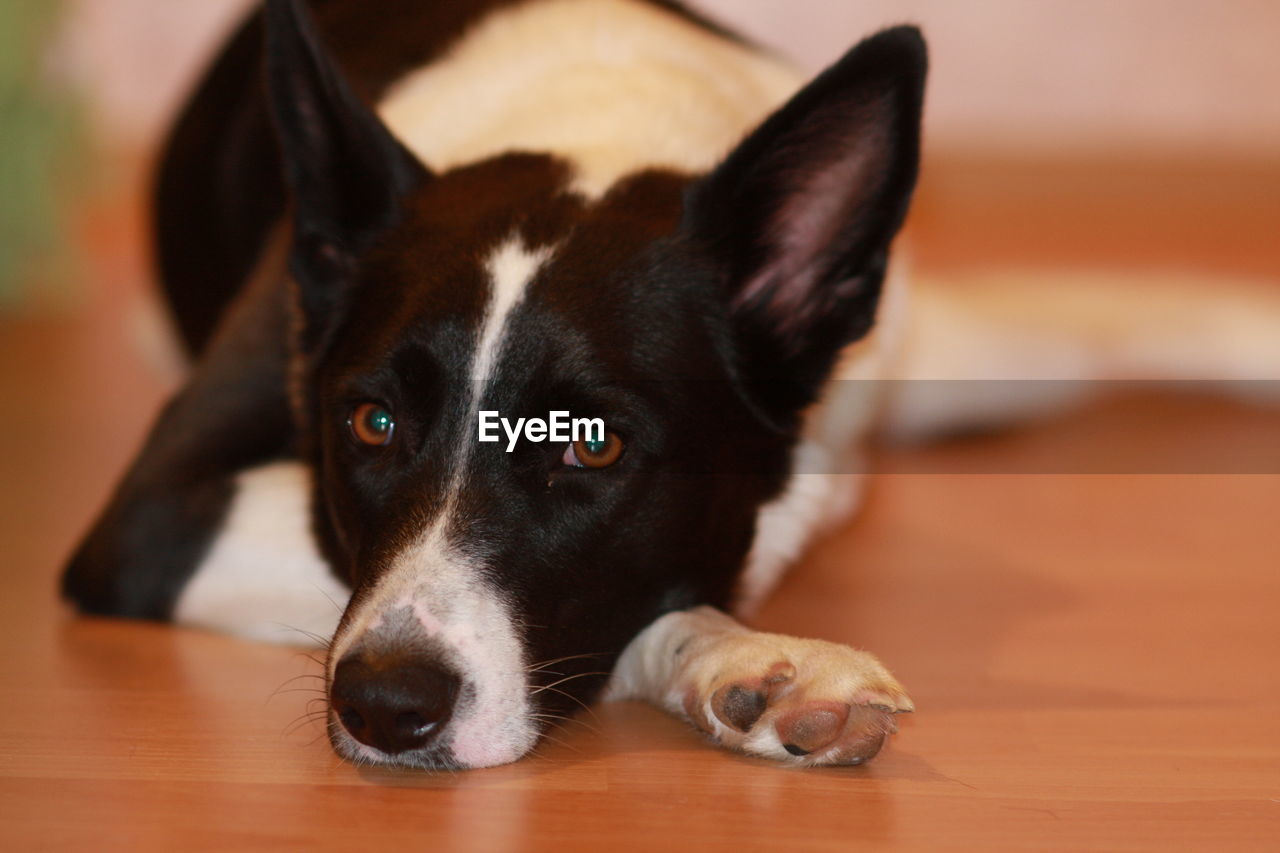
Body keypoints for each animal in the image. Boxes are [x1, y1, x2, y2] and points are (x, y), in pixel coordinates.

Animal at [60, 0, 1280, 768]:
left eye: (590, 442)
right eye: (370, 421)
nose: (382, 708)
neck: (592, 130)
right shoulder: (155, 519)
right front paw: (748, 658)